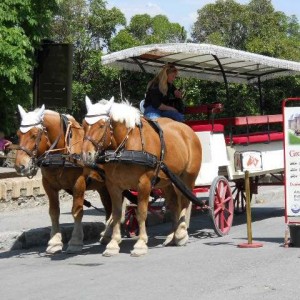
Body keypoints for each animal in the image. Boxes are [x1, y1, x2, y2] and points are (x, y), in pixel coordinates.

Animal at [14, 104, 112, 254]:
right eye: (18, 134)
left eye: (34, 135)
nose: (20, 166)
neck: (62, 153)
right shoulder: (48, 185)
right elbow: (54, 212)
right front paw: (54, 242)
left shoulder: (79, 183)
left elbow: (77, 211)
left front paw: (75, 241)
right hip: (102, 187)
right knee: (109, 207)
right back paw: (107, 235)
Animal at [81, 97, 202, 256]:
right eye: (83, 125)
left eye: (101, 125)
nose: (86, 155)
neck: (125, 147)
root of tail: (188, 130)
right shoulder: (113, 186)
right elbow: (117, 213)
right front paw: (113, 244)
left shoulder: (144, 183)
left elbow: (142, 213)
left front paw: (141, 243)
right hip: (167, 182)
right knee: (174, 204)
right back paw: (172, 236)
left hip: (186, 178)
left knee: (185, 202)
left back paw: (181, 233)